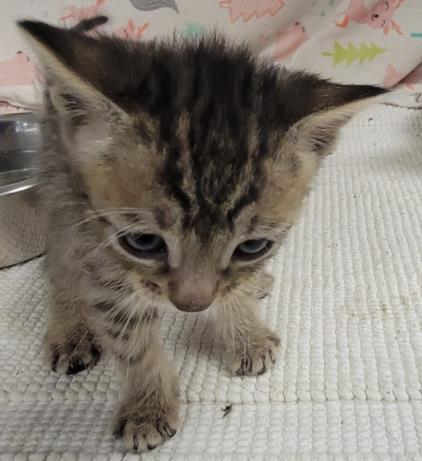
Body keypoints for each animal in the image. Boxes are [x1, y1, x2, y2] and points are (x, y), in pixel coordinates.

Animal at [19, 16, 382, 452]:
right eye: (143, 242)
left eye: (252, 246)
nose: (191, 306)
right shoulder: (102, 248)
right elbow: (131, 338)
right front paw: (147, 406)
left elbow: (234, 286)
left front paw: (245, 333)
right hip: (60, 194)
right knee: (60, 265)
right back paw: (70, 327)